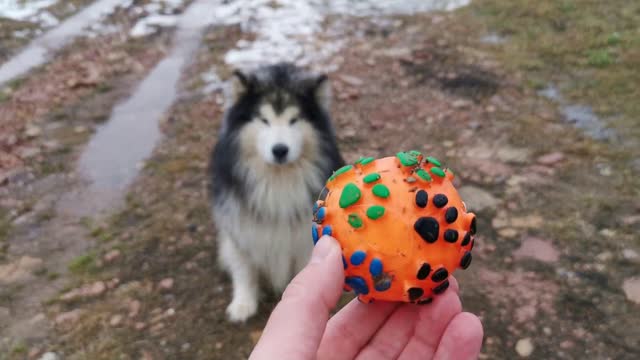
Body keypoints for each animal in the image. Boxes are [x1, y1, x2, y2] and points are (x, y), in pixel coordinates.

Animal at [209, 63, 344, 322]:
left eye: (294, 120)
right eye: (264, 120)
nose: (280, 150)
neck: (277, 180)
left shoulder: (303, 238)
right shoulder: (241, 227)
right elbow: (244, 269)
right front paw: (243, 304)